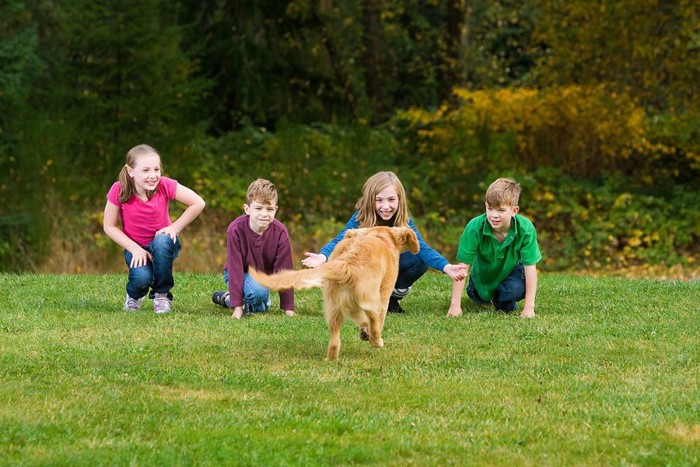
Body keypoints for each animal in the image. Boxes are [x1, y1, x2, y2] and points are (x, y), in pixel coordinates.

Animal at [249, 227, 418, 362]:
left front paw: (364, 332)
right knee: (374, 321)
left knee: (336, 336)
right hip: (372, 299)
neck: (379, 237)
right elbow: (377, 320)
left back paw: (332, 358)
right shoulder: (385, 292)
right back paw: (376, 341)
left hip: (333, 305)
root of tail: (347, 264)